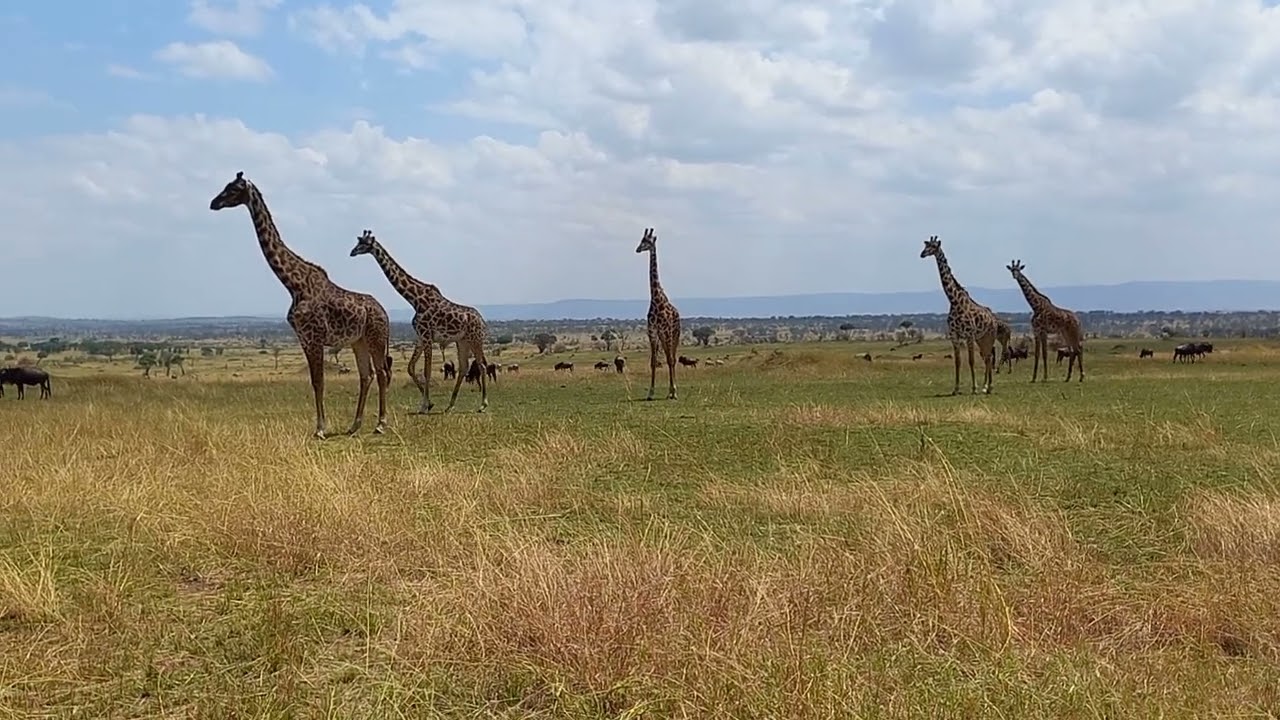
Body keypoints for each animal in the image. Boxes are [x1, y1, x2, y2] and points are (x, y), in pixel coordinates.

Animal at [209, 172, 391, 439]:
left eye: (232, 189)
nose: (214, 203)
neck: (293, 284)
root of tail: (385, 312)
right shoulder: (304, 338)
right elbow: (315, 382)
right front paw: (322, 426)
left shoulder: (314, 337)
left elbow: (319, 381)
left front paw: (320, 429)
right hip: (359, 341)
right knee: (366, 375)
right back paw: (355, 425)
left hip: (376, 338)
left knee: (382, 373)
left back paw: (380, 424)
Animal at [349, 230, 490, 414]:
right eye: (358, 241)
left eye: (364, 243)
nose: (352, 252)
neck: (414, 299)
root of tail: (482, 320)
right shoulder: (421, 337)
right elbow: (411, 367)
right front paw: (428, 403)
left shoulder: (428, 336)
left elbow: (427, 371)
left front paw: (424, 406)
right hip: (462, 341)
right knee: (464, 367)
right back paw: (450, 405)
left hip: (476, 339)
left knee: (482, 366)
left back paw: (483, 404)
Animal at [636, 227, 681, 400]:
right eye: (641, 239)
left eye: (647, 241)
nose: (637, 249)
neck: (656, 298)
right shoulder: (653, 332)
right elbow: (653, 361)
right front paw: (650, 392)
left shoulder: (666, 332)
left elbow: (669, 360)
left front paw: (674, 391)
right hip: (663, 337)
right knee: (669, 357)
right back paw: (669, 392)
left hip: (674, 334)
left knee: (672, 357)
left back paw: (673, 391)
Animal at [919, 235, 998, 395]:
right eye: (926, 245)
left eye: (933, 246)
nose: (922, 254)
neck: (954, 301)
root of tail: (993, 318)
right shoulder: (954, 336)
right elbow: (958, 361)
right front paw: (956, 389)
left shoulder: (968, 335)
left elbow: (971, 361)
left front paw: (973, 388)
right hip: (981, 338)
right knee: (987, 358)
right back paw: (985, 386)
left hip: (989, 336)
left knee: (989, 357)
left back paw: (989, 387)